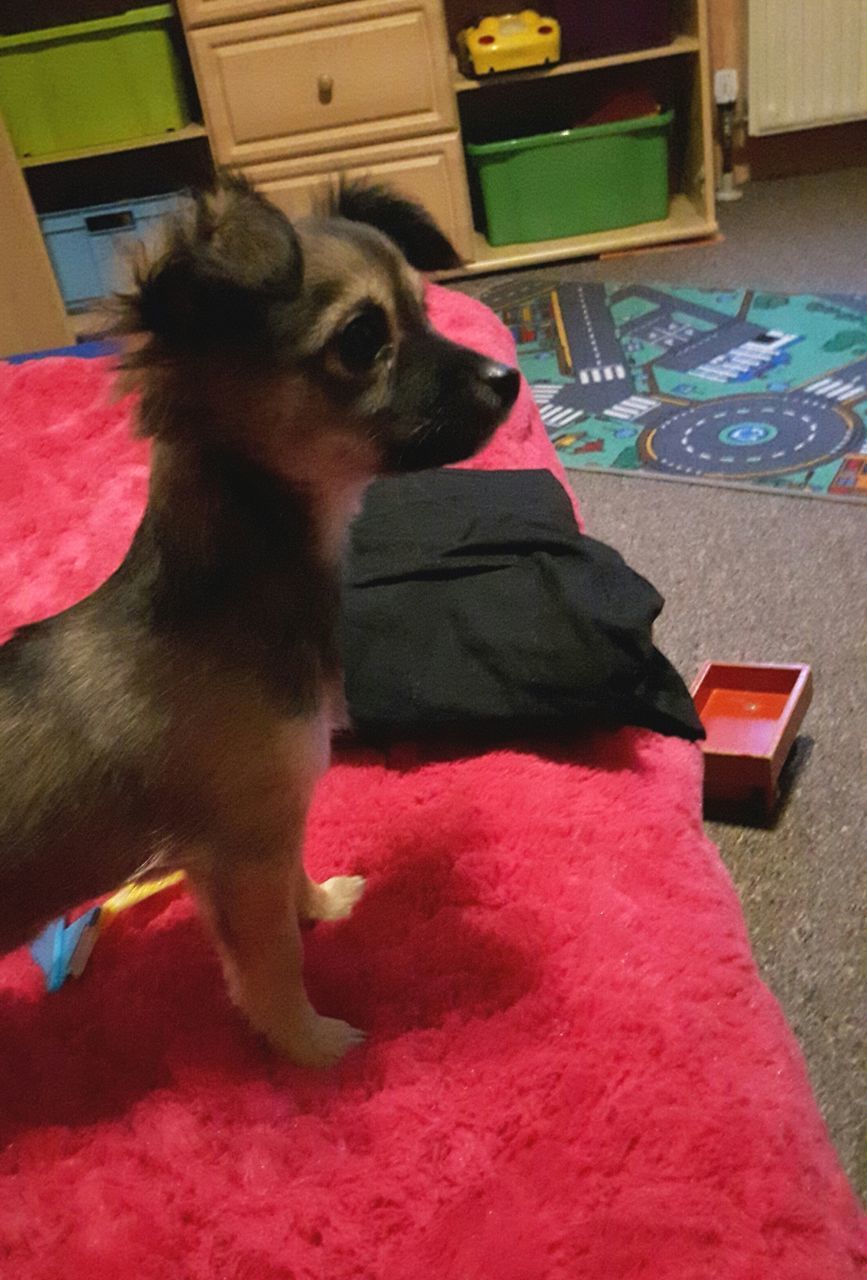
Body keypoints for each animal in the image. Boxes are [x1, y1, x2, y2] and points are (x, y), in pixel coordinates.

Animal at [0, 175, 514, 1064]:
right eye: (361, 339)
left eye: (424, 311)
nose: (508, 379)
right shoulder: (241, 849)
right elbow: (271, 962)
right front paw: (312, 1046)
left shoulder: (261, 833)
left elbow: (292, 886)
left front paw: (322, 907)